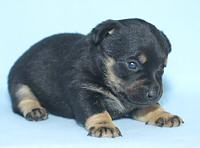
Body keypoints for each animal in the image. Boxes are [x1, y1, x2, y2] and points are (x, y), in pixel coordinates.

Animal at [7, 18, 184, 138]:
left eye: (161, 68)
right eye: (132, 64)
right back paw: (34, 109)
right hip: (18, 83)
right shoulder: (83, 91)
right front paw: (104, 125)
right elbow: (96, 110)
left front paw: (163, 114)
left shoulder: (138, 99)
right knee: (23, 98)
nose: (154, 94)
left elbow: (151, 106)